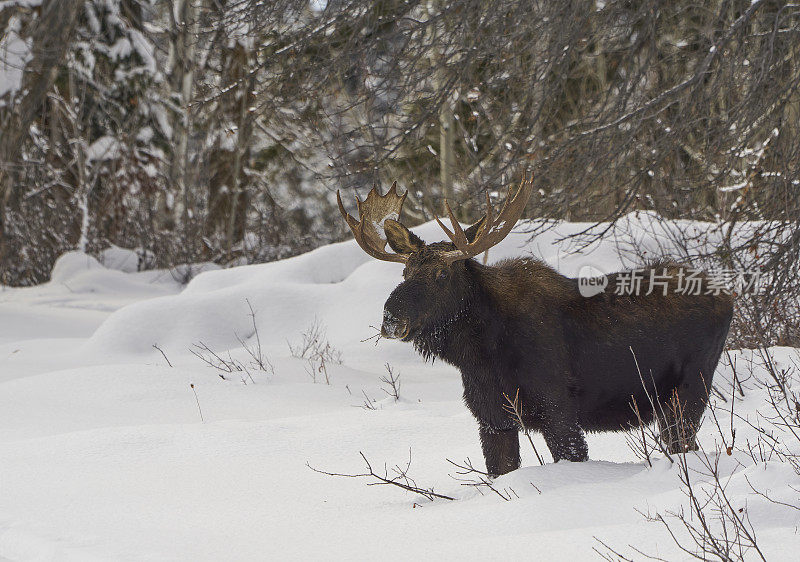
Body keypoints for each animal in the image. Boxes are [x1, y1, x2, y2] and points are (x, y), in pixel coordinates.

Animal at [336, 177, 732, 474]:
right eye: (405, 272)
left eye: (441, 274)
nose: (391, 318)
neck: (480, 354)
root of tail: (729, 296)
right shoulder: (492, 418)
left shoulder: (558, 410)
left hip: (690, 391)